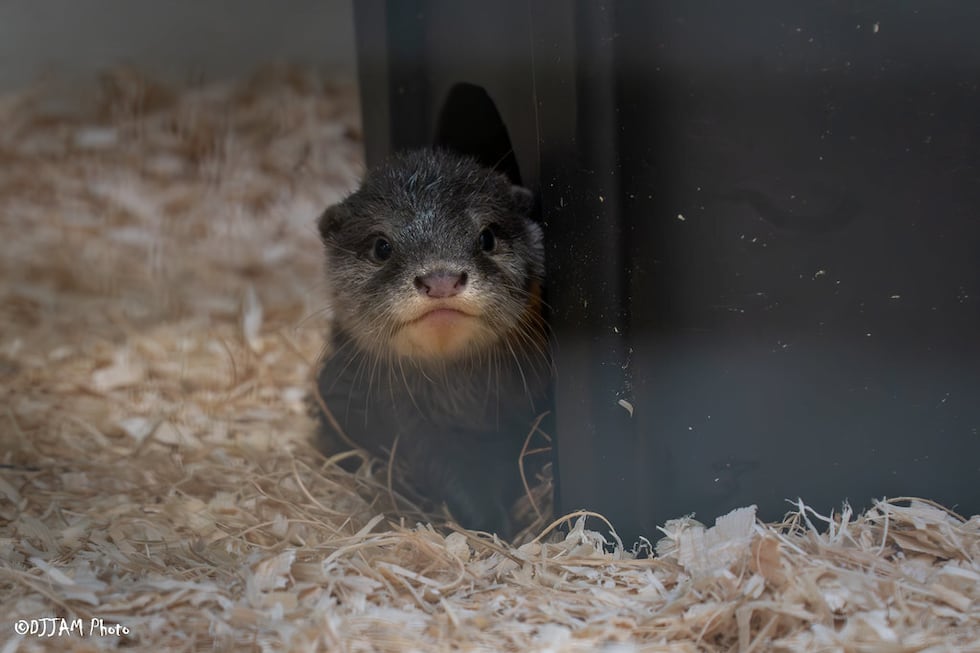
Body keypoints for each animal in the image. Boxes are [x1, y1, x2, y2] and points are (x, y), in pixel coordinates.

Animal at [312, 149, 551, 536]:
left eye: (487, 237)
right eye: (382, 246)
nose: (441, 280)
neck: (475, 409)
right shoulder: (415, 426)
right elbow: (456, 479)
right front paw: (492, 528)